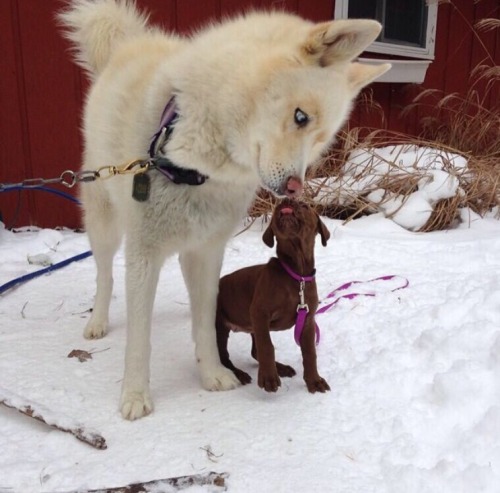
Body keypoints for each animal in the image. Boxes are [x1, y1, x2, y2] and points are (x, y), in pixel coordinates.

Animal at [216, 198, 330, 394]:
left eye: (305, 206)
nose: (286, 199)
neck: (295, 274)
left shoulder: (307, 320)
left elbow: (310, 353)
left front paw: (314, 381)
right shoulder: (260, 313)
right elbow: (267, 346)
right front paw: (268, 378)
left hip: (252, 326)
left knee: (254, 351)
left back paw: (281, 368)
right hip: (220, 325)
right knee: (224, 357)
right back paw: (239, 374)